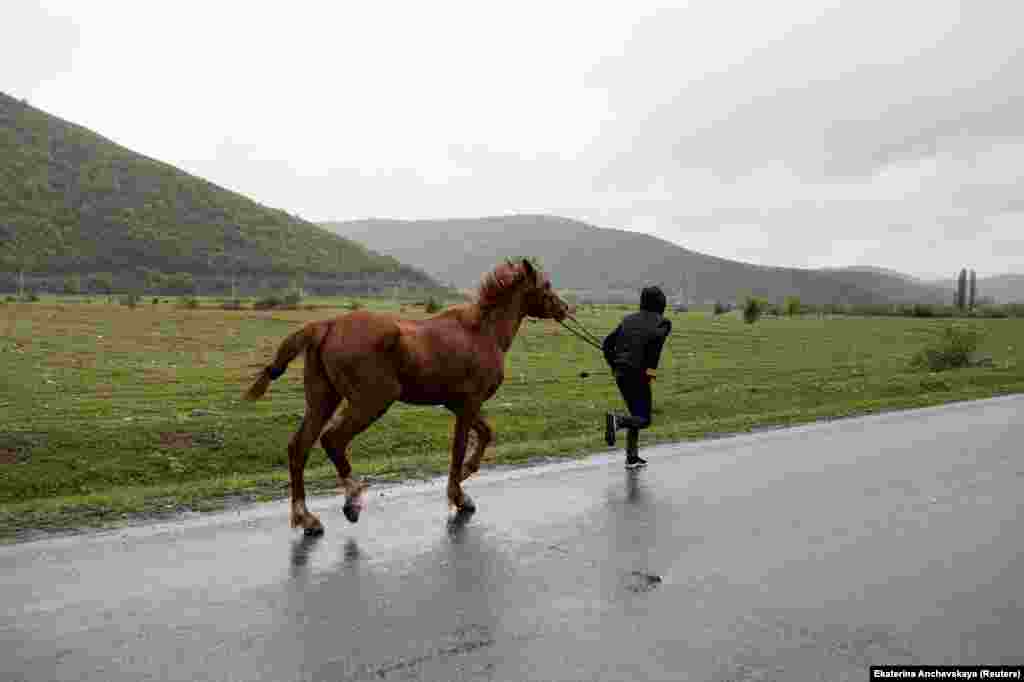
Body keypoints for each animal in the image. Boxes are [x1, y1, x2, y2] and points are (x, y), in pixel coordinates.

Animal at [243, 254, 573, 532]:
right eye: (545, 285)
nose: (565, 308)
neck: (482, 332)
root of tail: (327, 325)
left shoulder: (457, 404)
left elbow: (485, 433)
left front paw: (466, 477)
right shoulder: (468, 403)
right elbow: (459, 449)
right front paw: (459, 495)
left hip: (323, 399)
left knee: (299, 448)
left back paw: (306, 518)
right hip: (372, 400)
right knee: (332, 440)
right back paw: (352, 500)